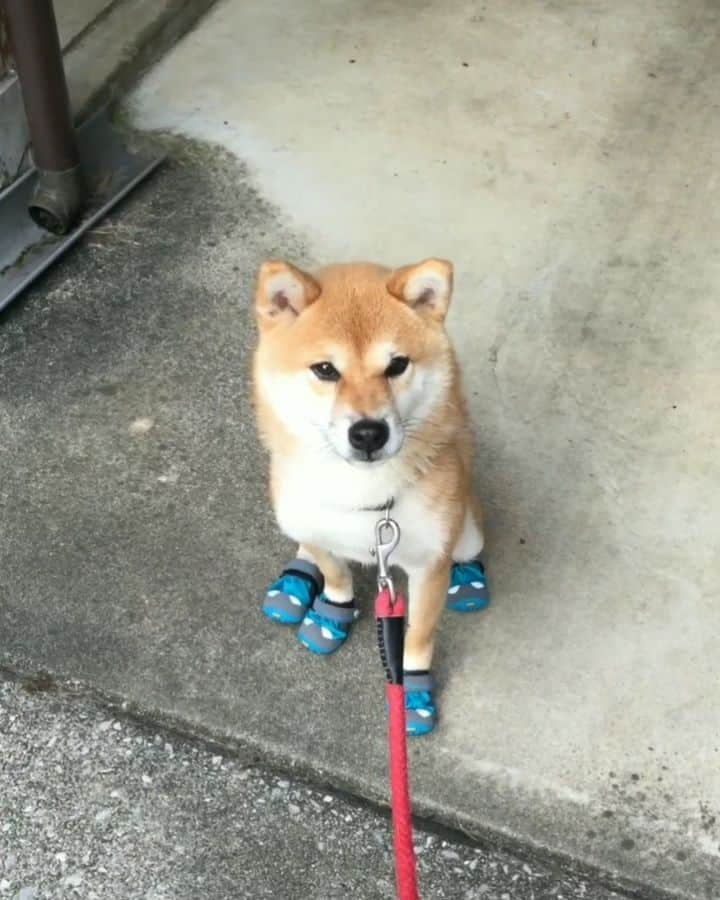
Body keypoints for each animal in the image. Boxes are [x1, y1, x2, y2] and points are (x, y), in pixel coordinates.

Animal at [253, 256, 490, 736]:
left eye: (397, 365)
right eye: (325, 369)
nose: (368, 432)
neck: (362, 495)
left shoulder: (427, 566)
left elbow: (417, 635)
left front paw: (411, 690)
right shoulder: (320, 531)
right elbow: (335, 573)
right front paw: (332, 611)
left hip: (469, 526)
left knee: (468, 547)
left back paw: (468, 578)